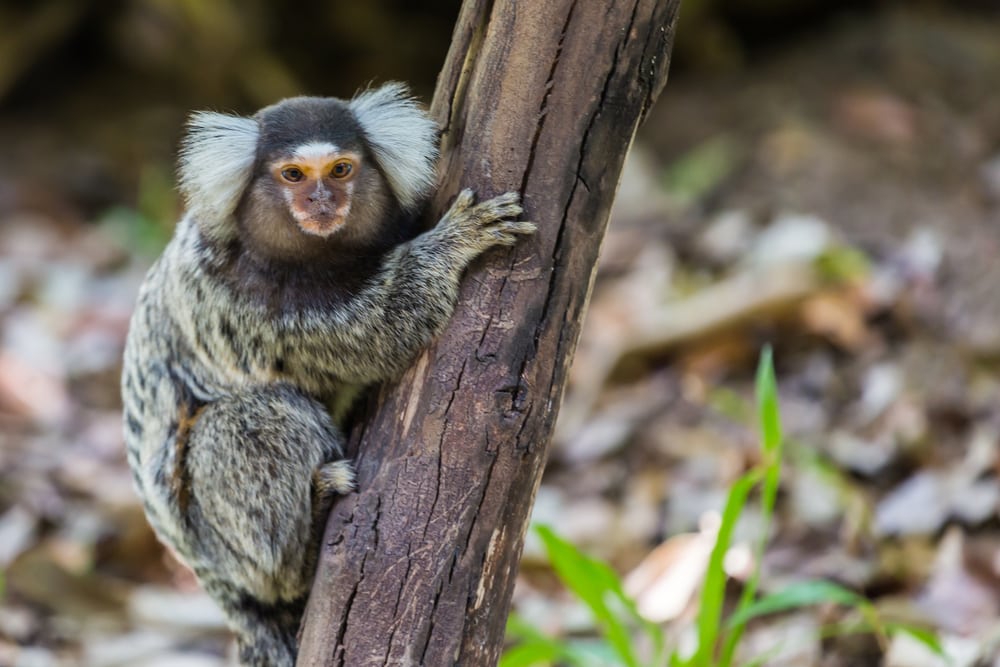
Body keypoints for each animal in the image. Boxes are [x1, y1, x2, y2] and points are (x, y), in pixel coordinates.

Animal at [120, 82, 535, 666]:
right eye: (293, 175)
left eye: (341, 170)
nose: (321, 202)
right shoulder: (249, 301)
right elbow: (379, 333)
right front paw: (452, 243)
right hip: (221, 548)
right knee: (248, 420)